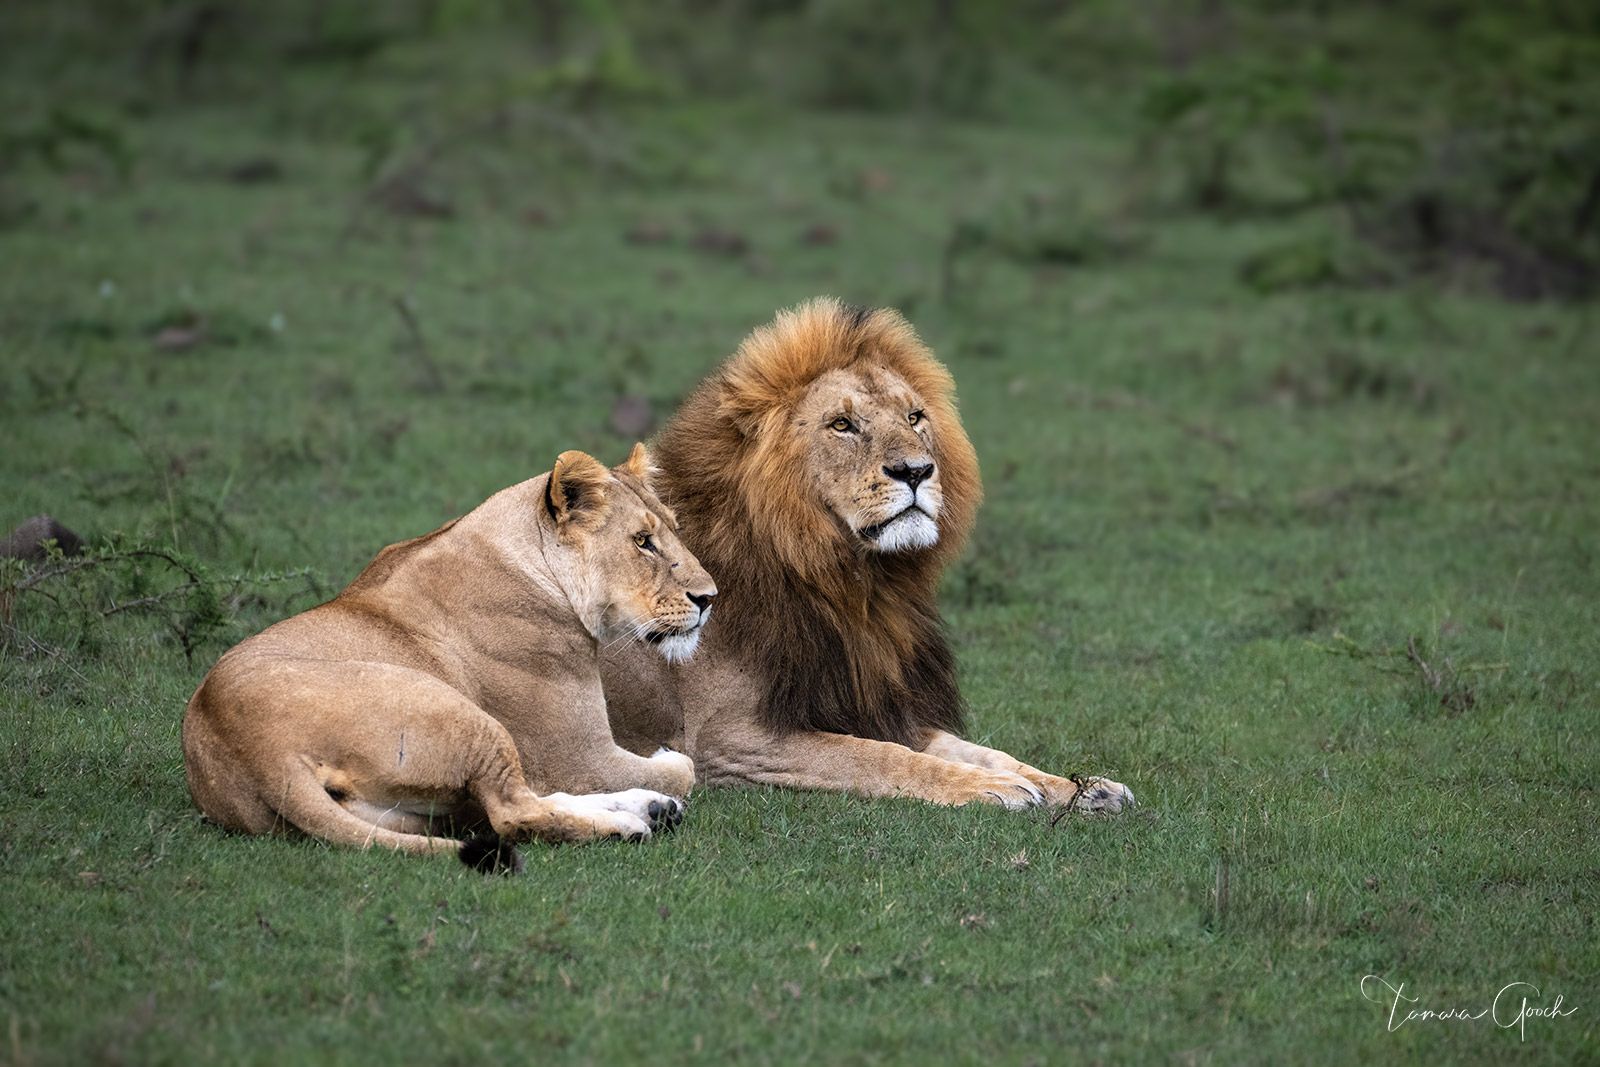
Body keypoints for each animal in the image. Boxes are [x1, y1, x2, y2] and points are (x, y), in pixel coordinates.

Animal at [182, 444, 716, 870]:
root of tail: (259, 755)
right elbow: (684, 767)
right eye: (642, 542)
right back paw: (633, 824)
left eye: (674, 530)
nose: (710, 598)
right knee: (513, 812)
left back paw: (652, 808)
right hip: (458, 713)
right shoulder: (580, 758)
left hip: (405, 811)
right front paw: (665, 758)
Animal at [601, 299, 1133, 812]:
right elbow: (878, 757)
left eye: (915, 417)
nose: (915, 471)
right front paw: (990, 788)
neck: (852, 586)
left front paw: (1083, 788)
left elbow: (981, 750)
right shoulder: (725, 739)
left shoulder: (871, 701)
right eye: (843, 425)